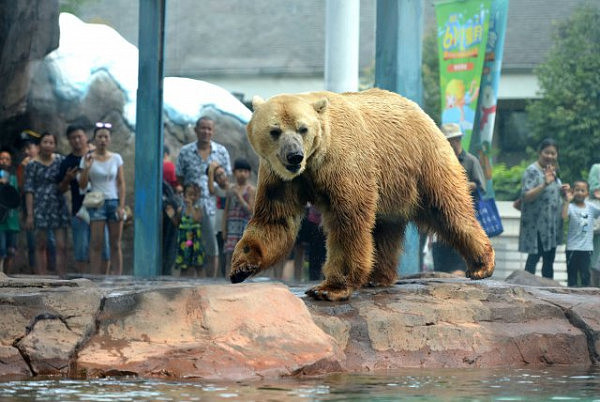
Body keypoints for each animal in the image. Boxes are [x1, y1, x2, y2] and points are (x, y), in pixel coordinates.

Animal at [227, 88, 494, 302]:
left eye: (303, 129)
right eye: (275, 130)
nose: (294, 156)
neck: (314, 162)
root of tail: (421, 111)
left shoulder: (344, 164)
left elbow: (348, 221)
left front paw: (329, 288)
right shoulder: (281, 179)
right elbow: (275, 219)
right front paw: (242, 266)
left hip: (422, 163)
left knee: (448, 209)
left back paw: (481, 265)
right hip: (392, 187)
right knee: (385, 228)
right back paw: (378, 276)